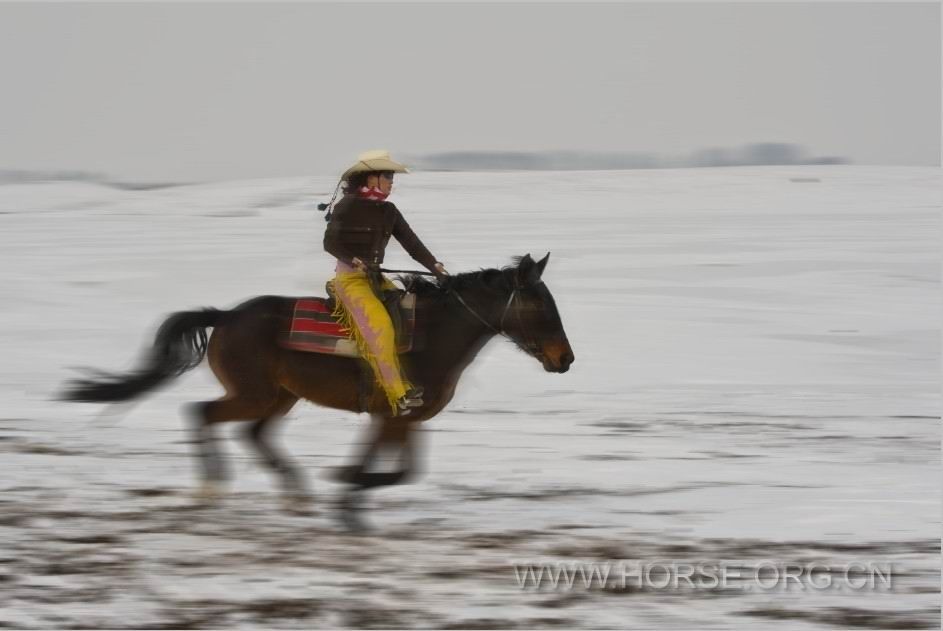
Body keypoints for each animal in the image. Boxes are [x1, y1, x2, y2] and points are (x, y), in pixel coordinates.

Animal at [62, 254, 576, 532]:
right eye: (539, 305)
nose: (565, 359)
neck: (432, 335)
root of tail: (227, 316)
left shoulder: (406, 418)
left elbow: (405, 472)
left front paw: (347, 495)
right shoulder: (389, 416)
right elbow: (382, 468)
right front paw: (345, 493)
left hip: (280, 396)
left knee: (253, 434)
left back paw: (296, 494)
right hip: (253, 393)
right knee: (201, 412)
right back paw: (213, 487)